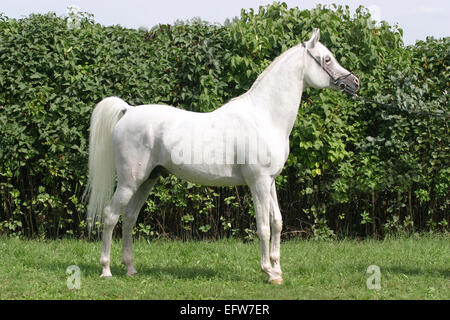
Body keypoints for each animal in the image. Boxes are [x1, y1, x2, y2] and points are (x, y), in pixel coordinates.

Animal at [83, 29, 358, 284]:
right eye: (327, 59)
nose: (355, 83)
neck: (264, 116)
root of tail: (128, 111)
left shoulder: (270, 182)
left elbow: (277, 222)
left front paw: (278, 270)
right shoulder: (258, 182)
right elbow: (264, 227)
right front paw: (268, 272)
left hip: (148, 180)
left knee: (129, 217)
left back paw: (130, 269)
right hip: (130, 181)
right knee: (110, 215)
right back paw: (106, 270)